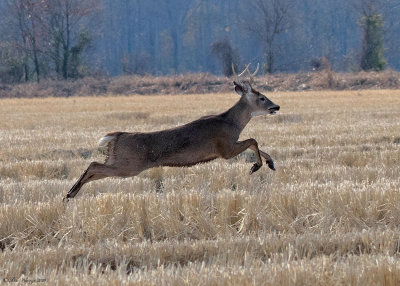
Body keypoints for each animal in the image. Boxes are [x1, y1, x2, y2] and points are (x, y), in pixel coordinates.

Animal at [64, 63, 280, 200]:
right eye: (262, 97)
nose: (276, 106)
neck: (232, 123)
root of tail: (117, 135)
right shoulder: (224, 148)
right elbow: (253, 140)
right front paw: (255, 166)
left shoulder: (229, 146)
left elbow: (256, 144)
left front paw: (270, 163)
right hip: (128, 165)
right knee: (93, 165)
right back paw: (69, 193)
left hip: (119, 161)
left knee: (94, 169)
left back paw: (70, 194)